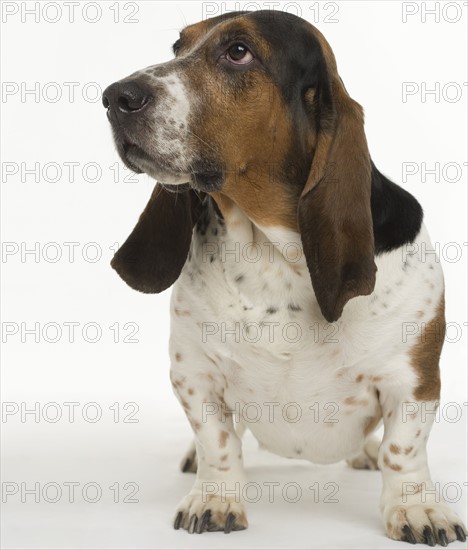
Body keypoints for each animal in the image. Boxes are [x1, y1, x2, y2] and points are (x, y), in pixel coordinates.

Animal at [103, 9, 468, 548]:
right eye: (178, 46)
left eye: (238, 52)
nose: (114, 97)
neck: (272, 255)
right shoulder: (195, 375)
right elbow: (218, 442)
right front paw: (215, 499)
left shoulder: (412, 381)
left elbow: (403, 452)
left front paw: (417, 508)